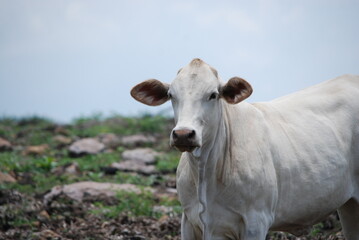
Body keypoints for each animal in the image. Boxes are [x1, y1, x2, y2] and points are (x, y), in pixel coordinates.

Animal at [131, 58, 359, 240]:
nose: (183, 134)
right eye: (171, 95)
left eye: (213, 95)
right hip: (348, 204)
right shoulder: (189, 220)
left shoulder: (256, 221)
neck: (205, 173)